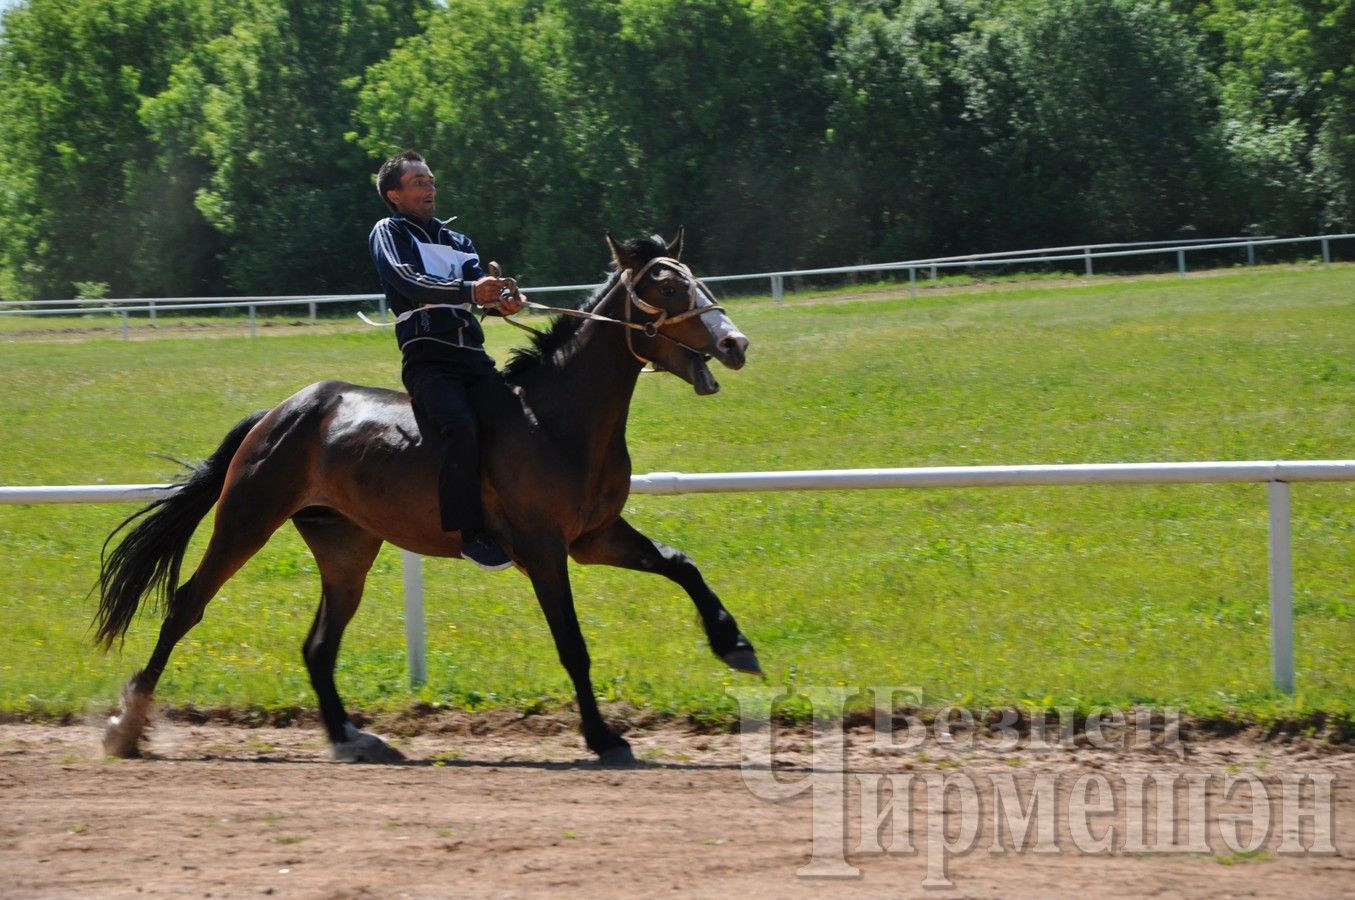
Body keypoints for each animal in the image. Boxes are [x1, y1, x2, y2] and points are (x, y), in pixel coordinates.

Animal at [92, 229, 764, 764]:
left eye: (695, 279)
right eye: (667, 287)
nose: (735, 344)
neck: (552, 420)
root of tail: (284, 411)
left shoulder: (594, 539)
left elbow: (680, 564)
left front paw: (734, 645)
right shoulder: (545, 552)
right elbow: (573, 647)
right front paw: (603, 738)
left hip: (345, 550)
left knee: (318, 647)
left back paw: (350, 738)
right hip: (246, 521)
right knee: (185, 606)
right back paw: (127, 727)